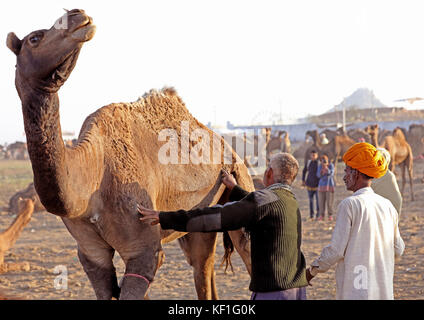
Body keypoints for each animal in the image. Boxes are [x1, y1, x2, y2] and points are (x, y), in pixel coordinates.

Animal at [6, 9, 253, 300]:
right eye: (35, 38)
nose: (78, 14)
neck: (91, 177)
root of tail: (228, 147)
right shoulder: (91, 254)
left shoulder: (143, 250)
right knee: (202, 264)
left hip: (240, 182)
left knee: (245, 247)